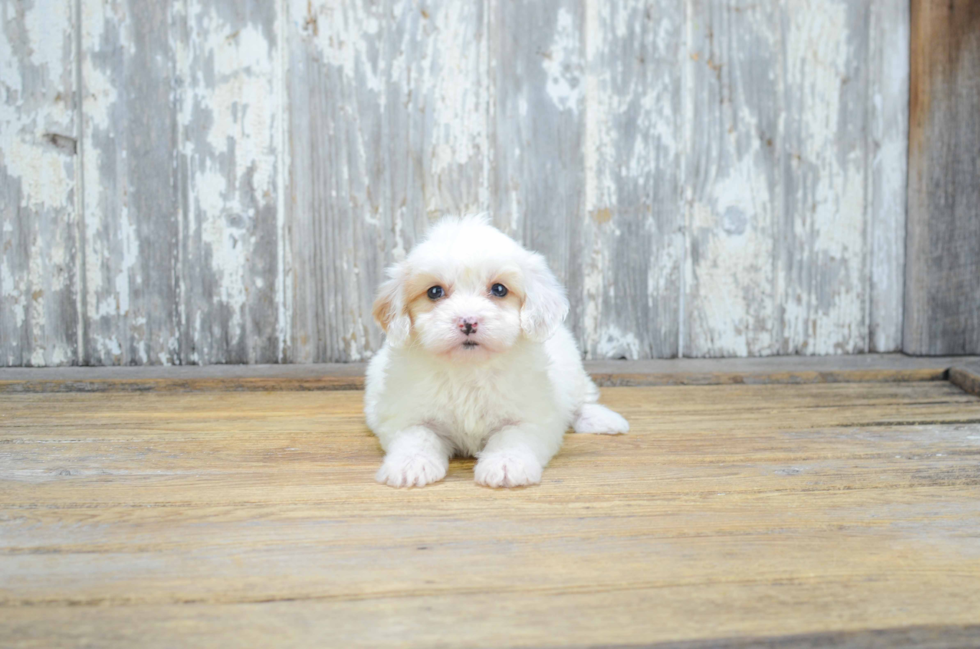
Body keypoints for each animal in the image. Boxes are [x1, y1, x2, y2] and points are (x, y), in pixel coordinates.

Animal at [366, 215, 628, 488]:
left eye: (499, 289)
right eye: (434, 291)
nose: (468, 322)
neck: (469, 369)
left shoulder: (531, 415)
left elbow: (512, 436)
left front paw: (506, 464)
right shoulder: (404, 412)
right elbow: (417, 434)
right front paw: (410, 464)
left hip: (573, 370)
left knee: (580, 400)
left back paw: (603, 419)